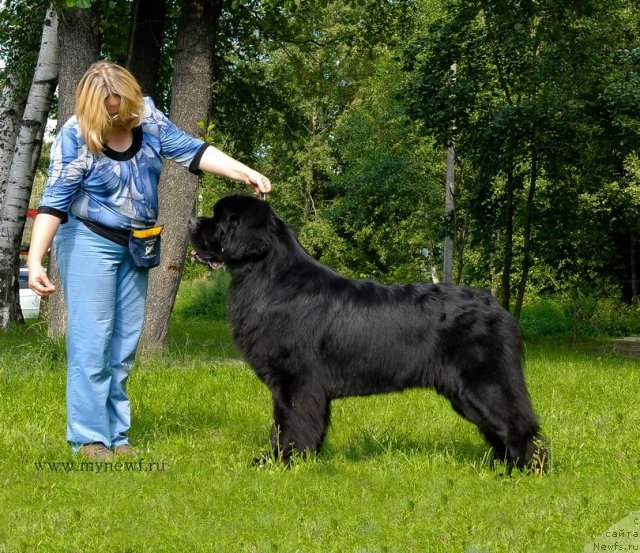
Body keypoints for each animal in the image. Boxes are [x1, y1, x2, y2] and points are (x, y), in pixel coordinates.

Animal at [190, 194, 544, 470]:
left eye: (220, 219)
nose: (193, 221)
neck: (268, 275)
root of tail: (497, 307)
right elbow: (304, 424)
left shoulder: (295, 381)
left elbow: (289, 424)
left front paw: (281, 462)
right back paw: (502, 467)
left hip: (485, 384)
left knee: (518, 425)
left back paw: (526, 471)